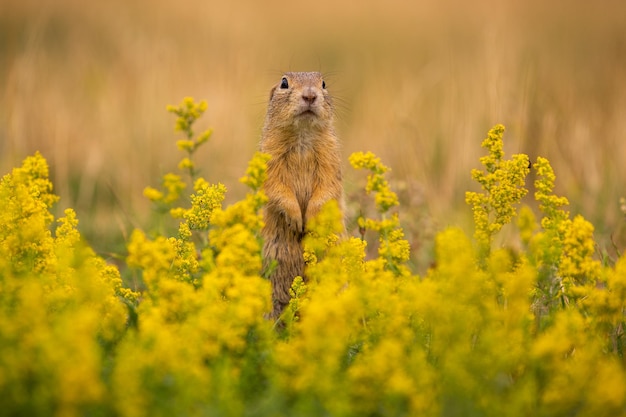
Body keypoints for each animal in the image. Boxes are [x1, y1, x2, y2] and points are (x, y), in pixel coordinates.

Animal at [260, 72, 344, 318]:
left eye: (323, 83)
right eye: (284, 83)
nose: (309, 95)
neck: (302, 136)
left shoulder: (331, 158)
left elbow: (327, 188)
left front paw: (311, 220)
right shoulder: (270, 159)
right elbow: (276, 187)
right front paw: (297, 220)